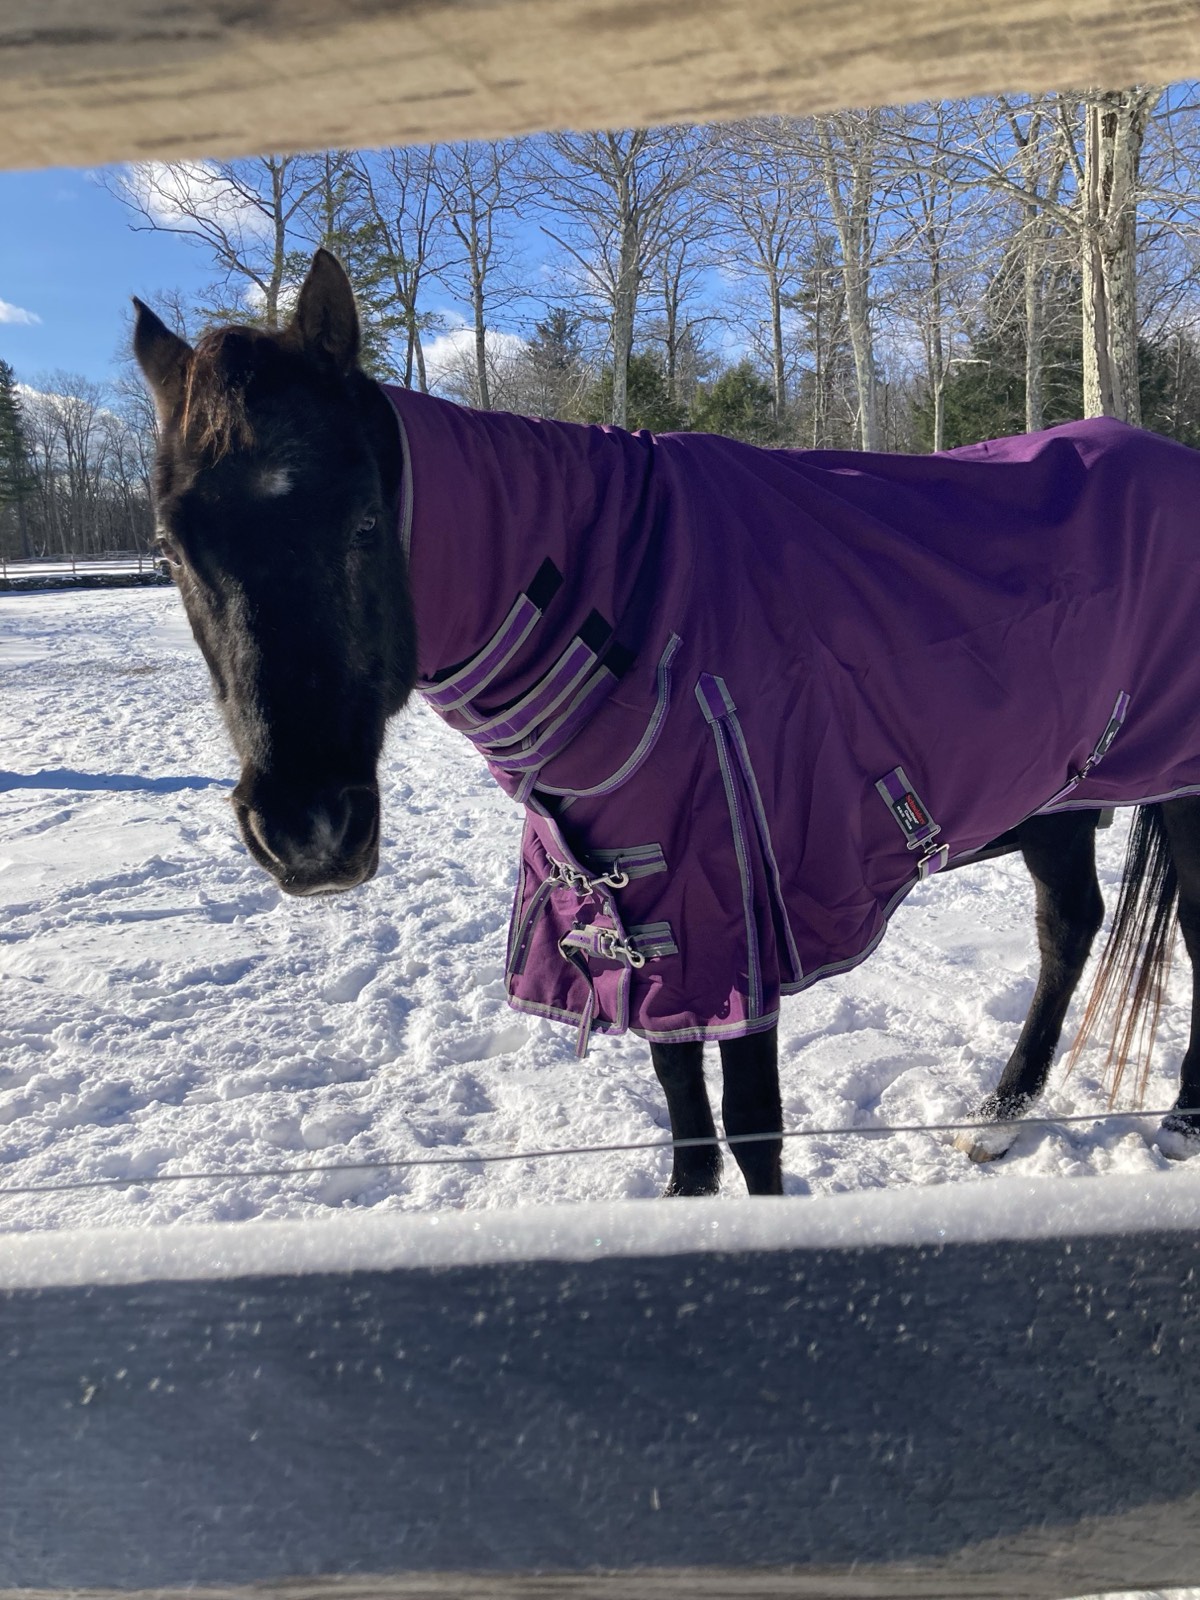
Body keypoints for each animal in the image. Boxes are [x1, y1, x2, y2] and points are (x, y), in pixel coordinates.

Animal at [132, 247, 1200, 1197]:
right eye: (172, 547)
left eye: (361, 522)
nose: (307, 829)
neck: (630, 612)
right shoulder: (643, 909)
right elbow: (681, 1097)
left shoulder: (739, 907)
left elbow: (753, 1126)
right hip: (1059, 796)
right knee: (1071, 930)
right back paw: (1000, 1122)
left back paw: (1178, 1119)